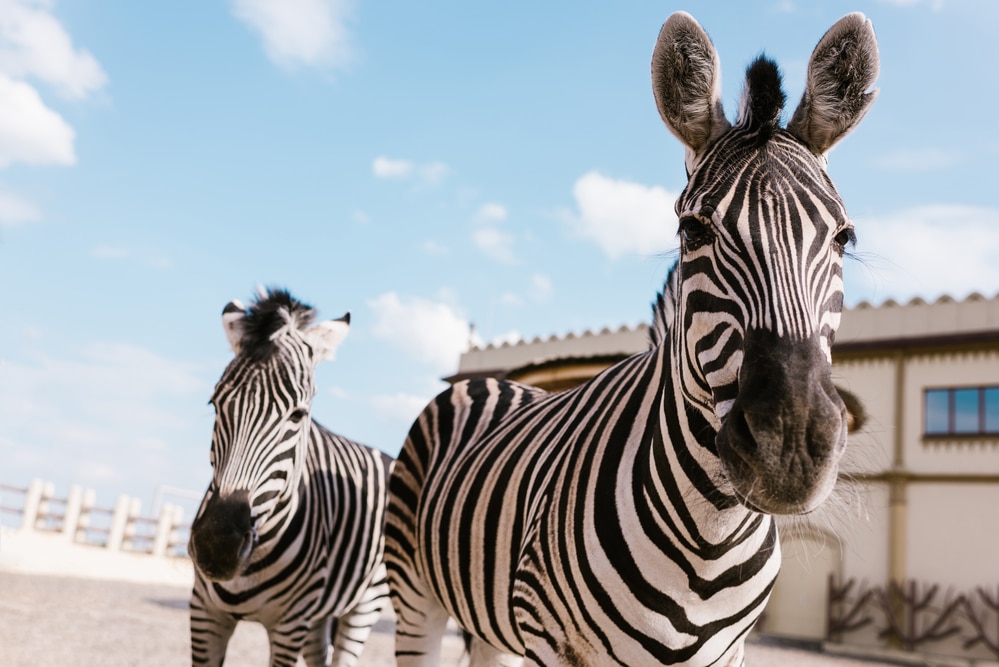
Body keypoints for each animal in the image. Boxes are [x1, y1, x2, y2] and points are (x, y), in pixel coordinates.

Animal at [189, 290, 392, 667]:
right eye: (214, 403)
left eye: (298, 415)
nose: (216, 543)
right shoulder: (204, 612)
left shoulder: (290, 625)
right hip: (320, 613)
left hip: (367, 602)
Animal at [386, 11, 880, 667]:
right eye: (692, 230)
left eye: (844, 237)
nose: (791, 449)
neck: (711, 533)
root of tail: (487, 380)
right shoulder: (551, 638)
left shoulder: (729, 652)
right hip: (416, 599)